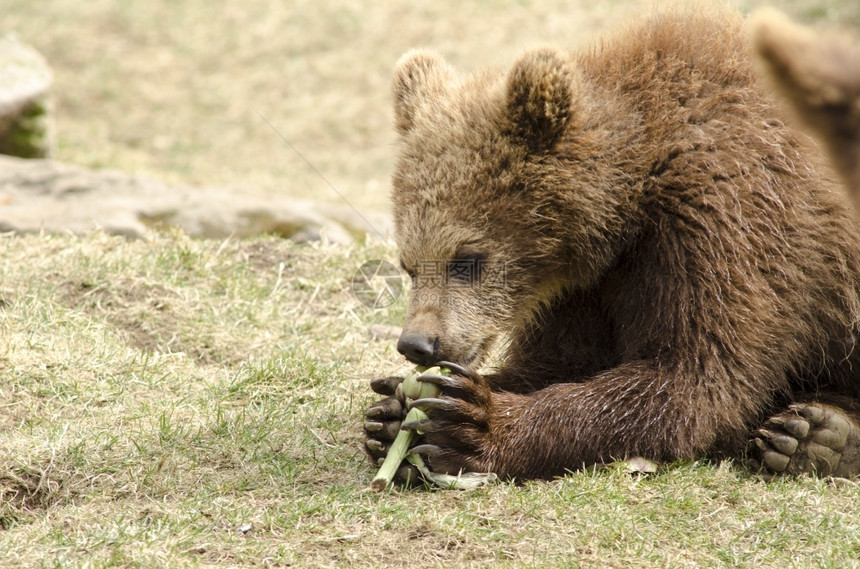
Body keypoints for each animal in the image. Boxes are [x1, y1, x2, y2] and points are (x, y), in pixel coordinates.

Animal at [366, 6, 860, 482]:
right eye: (409, 264)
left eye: (467, 260)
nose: (418, 344)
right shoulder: (583, 287)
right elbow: (557, 363)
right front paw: (392, 409)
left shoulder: (728, 220)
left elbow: (691, 375)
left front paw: (473, 423)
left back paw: (814, 437)